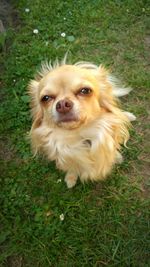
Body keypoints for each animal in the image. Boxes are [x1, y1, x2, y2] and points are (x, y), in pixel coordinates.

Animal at [27, 57, 135, 189]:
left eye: (85, 91)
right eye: (46, 98)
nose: (62, 105)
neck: (80, 135)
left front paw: (116, 156)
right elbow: (72, 167)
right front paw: (71, 178)